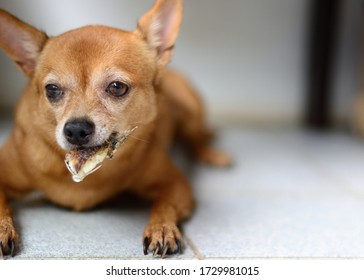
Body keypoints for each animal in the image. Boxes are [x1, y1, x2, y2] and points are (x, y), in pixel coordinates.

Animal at [0, 0, 230, 258]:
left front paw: (161, 228)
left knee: (197, 138)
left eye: (117, 87)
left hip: (190, 108)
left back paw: (213, 155)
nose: (76, 129)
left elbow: (164, 204)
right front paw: (3, 229)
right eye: (52, 90)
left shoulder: (174, 183)